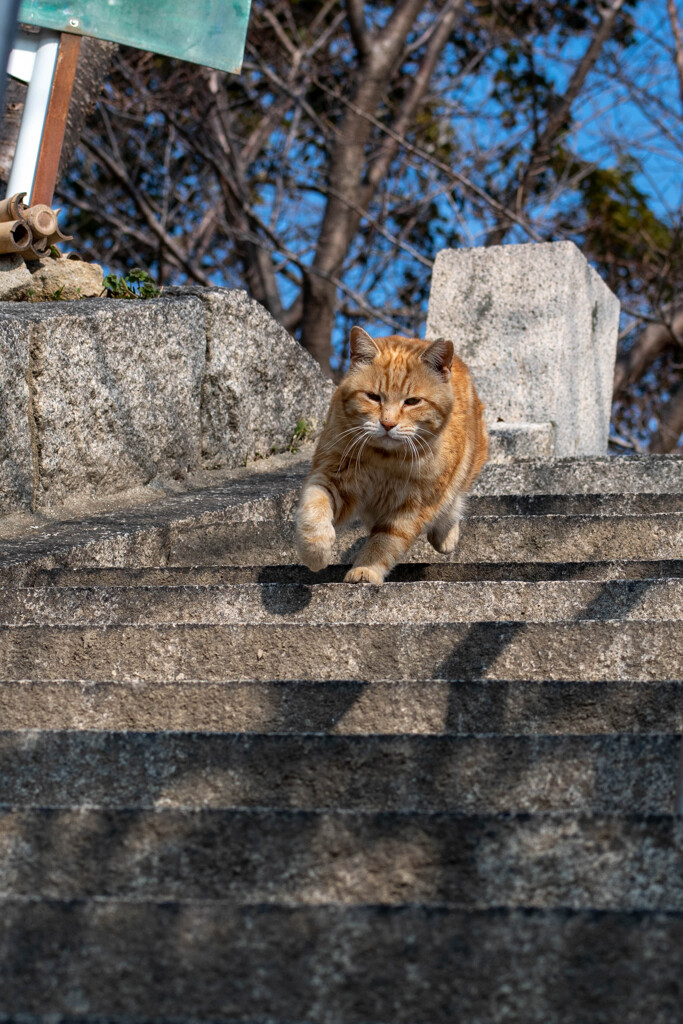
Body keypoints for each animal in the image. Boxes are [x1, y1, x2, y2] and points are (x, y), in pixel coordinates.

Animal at [294, 327, 485, 585]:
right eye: (374, 397)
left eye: (412, 402)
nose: (387, 423)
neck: (385, 460)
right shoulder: (331, 477)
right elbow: (314, 507)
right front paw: (315, 551)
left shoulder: (413, 507)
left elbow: (384, 543)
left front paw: (366, 569)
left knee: (453, 501)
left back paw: (445, 536)